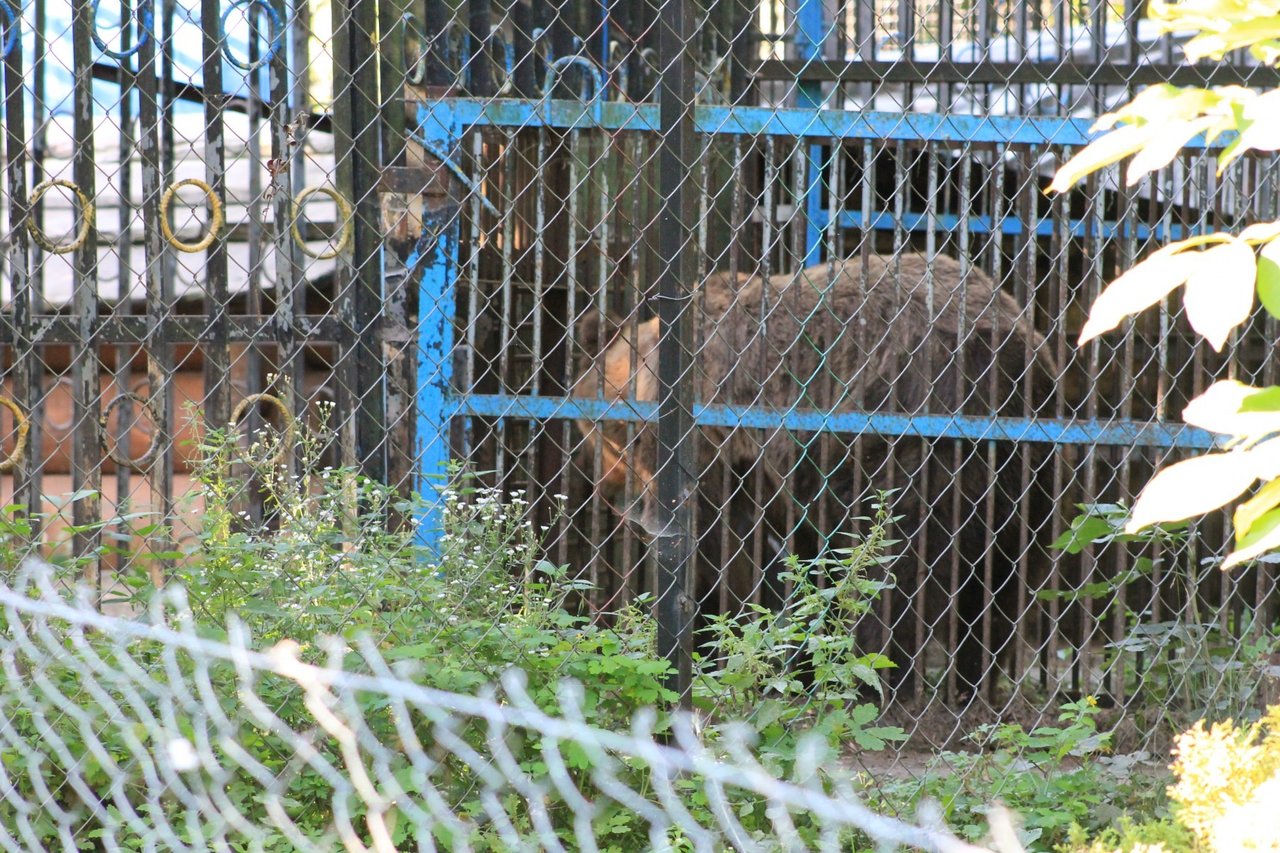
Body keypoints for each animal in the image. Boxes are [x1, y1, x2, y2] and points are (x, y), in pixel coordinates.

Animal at [570, 253, 1059, 696]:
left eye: (605, 436)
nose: (618, 500)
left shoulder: (720, 447)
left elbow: (718, 555)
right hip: (1023, 462)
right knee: (1000, 579)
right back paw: (971, 685)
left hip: (909, 430)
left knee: (897, 565)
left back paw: (884, 678)